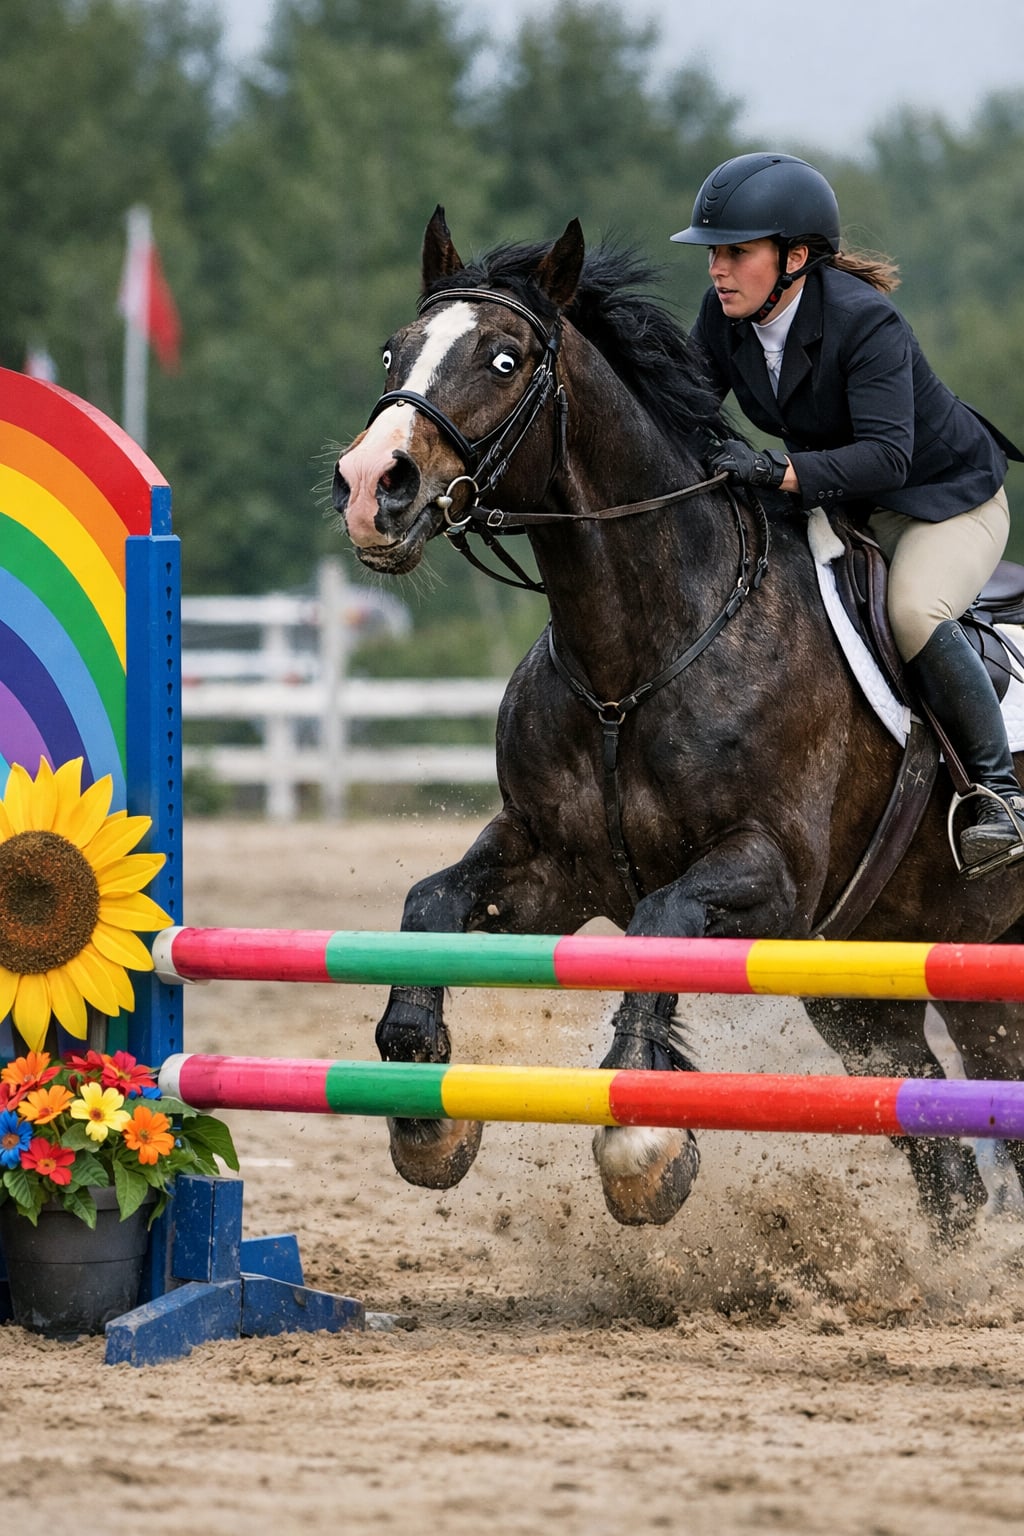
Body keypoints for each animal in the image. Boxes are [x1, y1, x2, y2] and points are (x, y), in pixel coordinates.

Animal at [331, 207, 1024, 1239]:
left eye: (504, 360)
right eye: (393, 349)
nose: (374, 488)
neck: (634, 659)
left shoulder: (774, 876)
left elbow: (661, 927)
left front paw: (644, 1140)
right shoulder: (552, 860)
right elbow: (429, 903)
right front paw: (426, 1105)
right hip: (891, 986)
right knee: (942, 1136)